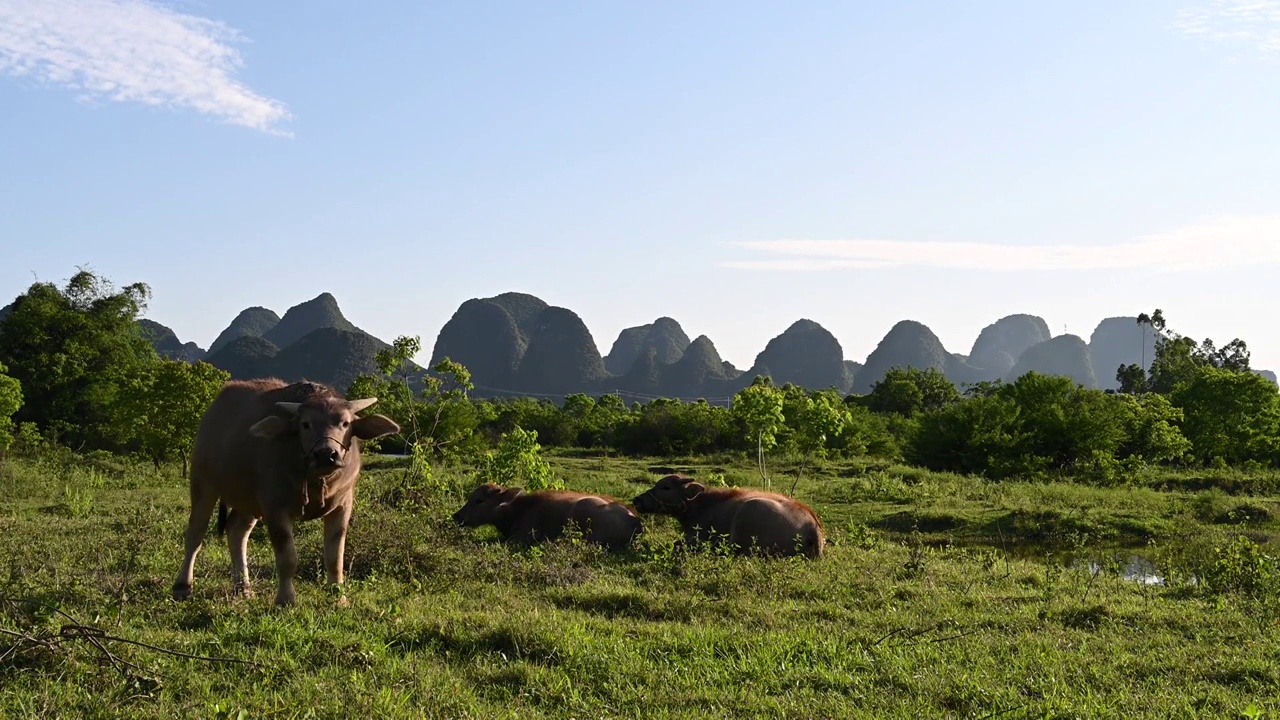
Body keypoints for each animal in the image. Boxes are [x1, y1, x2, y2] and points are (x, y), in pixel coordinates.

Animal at [171, 379, 399, 602]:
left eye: (345, 423)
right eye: (305, 424)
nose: (326, 454)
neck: (316, 481)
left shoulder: (342, 505)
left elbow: (335, 557)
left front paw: (338, 598)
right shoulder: (275, 508)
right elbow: (287, 557)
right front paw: (285, 599)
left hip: (249, 501)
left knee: (236, 530)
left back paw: (243, 588)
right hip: (202, 483)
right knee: (196, 532)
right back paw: (183, 586)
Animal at [627, 474, 824, 558]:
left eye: (666, 487)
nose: (637, 500)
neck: (701, 504)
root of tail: (812, 526)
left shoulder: (695, 537)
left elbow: (676, 544)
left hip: (747, 511)